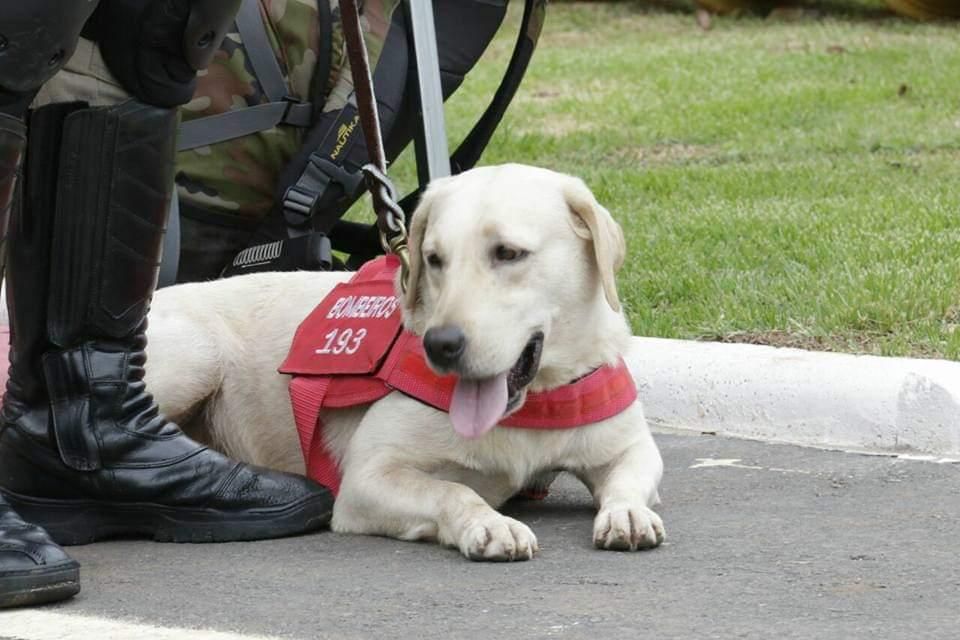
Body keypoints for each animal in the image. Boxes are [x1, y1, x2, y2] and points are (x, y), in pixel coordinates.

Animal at [146, 164, 664, 560]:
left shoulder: (629, 445)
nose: (441, 344)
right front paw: (489, 522)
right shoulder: (367, 479)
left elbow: (631, 476)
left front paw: (627, 511)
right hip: (197, 353)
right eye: (434, 259)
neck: (533, 404)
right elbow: (451, 490)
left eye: (508, 253)